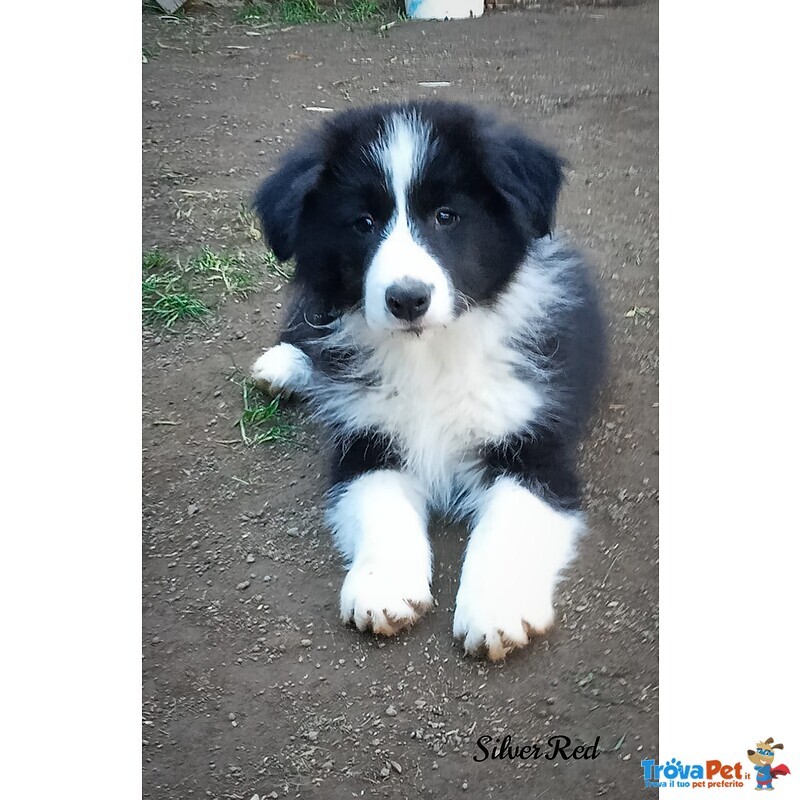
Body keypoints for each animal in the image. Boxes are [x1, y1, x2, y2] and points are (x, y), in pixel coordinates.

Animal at [253, 101, 604, 664]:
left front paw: (497, 610)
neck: (431, 353)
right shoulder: (365, 439)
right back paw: (285, 365)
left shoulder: (536, 445)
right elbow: (378, 501)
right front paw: (383, 587)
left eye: (446, 216)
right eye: (363, 222)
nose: (407, 299)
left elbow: (511, 520)